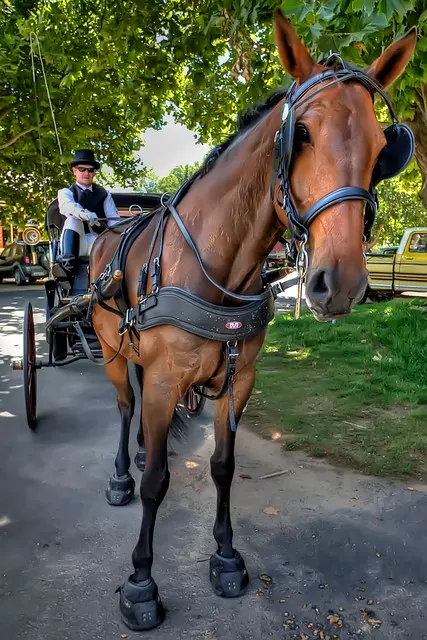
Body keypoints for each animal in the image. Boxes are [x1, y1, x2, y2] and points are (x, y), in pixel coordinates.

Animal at [89, 10, 416, 630]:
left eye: (382, 146)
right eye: (301, 134)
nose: (341, 283)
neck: (217, 266)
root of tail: (109, 231)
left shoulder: (238, 379)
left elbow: (221, 465)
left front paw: (225, 555)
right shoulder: (166, 379)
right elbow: (157, 482)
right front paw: (141, 582)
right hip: (114, 351)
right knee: (123, 405)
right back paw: (120, 472)